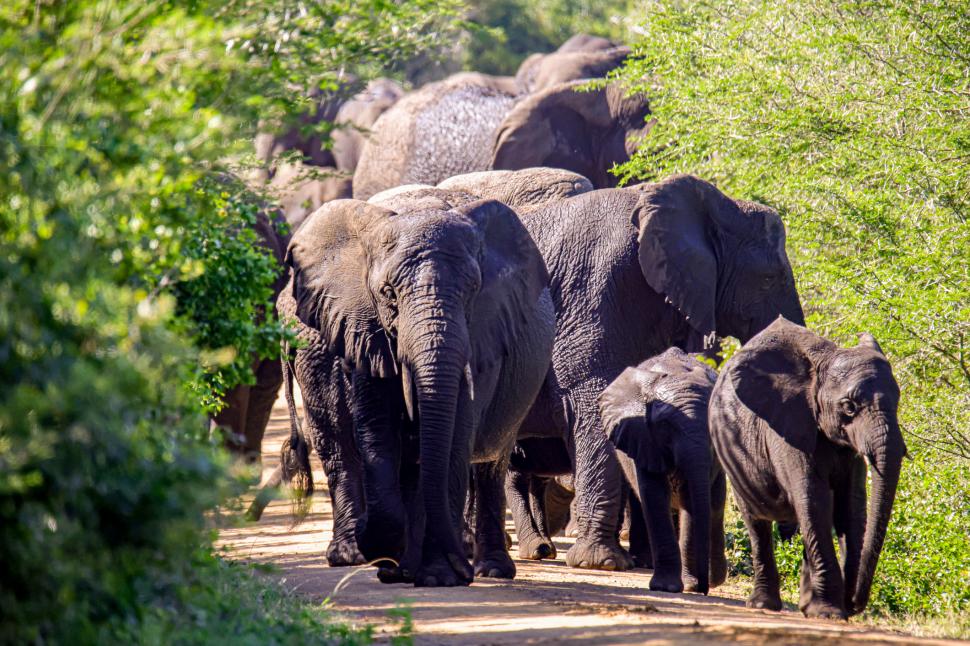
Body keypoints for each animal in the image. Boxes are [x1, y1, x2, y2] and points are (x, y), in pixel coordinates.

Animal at [278, 191, 552, 588]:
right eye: (387, 294)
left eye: (472, 292)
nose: (460, 567)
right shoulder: (362, 325)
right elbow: (377, 431)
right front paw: (387, 552)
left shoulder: (484, 335)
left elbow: (454, 436)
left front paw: (438, 576)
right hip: (311, 357)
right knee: (339, 445)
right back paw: (358, 558)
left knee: (490, 465)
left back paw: (489, 570)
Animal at [596, 350, 728, 596]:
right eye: (666, 425)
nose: (703, 589)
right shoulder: (643, 438)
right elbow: (654, 497)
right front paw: (666, 587)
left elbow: (692, 501)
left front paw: (689, 585)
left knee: (715, 505)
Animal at [708, 318, 904, 624]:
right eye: (849, 407)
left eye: (898, 401)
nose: (854, 603)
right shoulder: (787, 428)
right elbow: (814, 500)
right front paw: (829, 613)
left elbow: (850, 506)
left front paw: (828, 609)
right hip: (731, 456)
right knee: (757, 522)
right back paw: (764, 605)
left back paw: (804, 605)